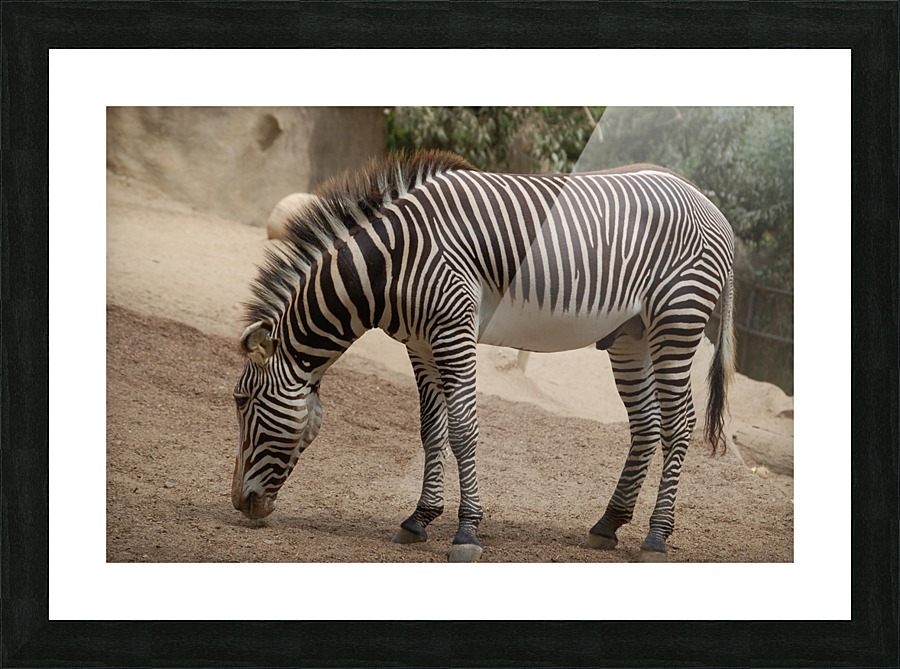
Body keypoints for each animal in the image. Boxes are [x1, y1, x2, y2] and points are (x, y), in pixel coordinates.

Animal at [231, 150, 735, 563]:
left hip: (677, 320)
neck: (390, 264)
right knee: (646, 423)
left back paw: (656, 537)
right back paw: (608, 525)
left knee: (679, 423)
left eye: (241, 401)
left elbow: (462, 429)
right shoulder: (419, 343)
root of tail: (711, 206)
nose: (239, 504)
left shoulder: (453, 331)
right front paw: (419, 518)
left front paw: (467, 531)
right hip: (632, 335)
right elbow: (431, 430)